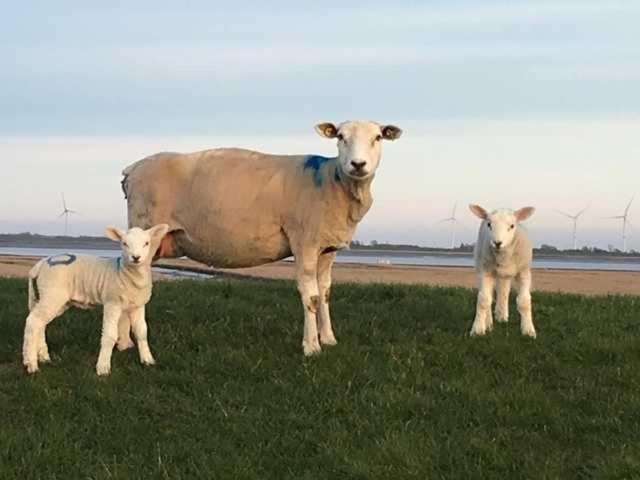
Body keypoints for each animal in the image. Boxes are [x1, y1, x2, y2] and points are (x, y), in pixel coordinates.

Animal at [22, 224, 169, 376]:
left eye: (146, 243)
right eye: (124, 243)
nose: (135, 257)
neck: (124, 273)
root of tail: (41, 264)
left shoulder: (137, 305)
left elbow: (142, 332)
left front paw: (148, 360)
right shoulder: (112, 302)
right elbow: (110, 335)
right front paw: (103, 368)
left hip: (52, 298)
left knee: (40, 323)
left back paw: (43, 357)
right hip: (52, 293)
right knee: (33, 322)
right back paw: (31, 364)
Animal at [120, 119, 400, 356]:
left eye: (378, 137)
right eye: (341, 136)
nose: (358, 164)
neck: (333, 180)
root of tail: (131, 170)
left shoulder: (327, 248)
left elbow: (325, 293)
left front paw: (329, 338)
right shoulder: (304, 242)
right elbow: (310, 297)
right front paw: (311, 346)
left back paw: (125, 343)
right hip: (143, 231)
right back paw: (124, 342)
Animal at [468, 204, 536, 340]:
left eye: (512, 226)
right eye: (489, 224)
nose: (497, 243)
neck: (503, 256)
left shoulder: (524, 272)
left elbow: (524, 301)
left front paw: (528, 330)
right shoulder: (485, 272)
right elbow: (484, 300)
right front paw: (478, 329)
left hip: (506, 275)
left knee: (504, 290)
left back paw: (502, 315)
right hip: (480, 266)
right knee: (490, 295)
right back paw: (489, 322)